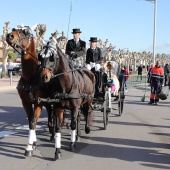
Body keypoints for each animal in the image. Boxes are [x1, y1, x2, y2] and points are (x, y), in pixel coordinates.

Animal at [5, 26, 57, 157]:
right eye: (13, 28)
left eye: (25, 32)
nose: (9, 36)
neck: (30, 77)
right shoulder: (26, 102)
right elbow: (30, 121)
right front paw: (33, 143)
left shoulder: (38, 102)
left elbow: (34, 121)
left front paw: (29, 147)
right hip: (47, 102)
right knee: (50, 114)